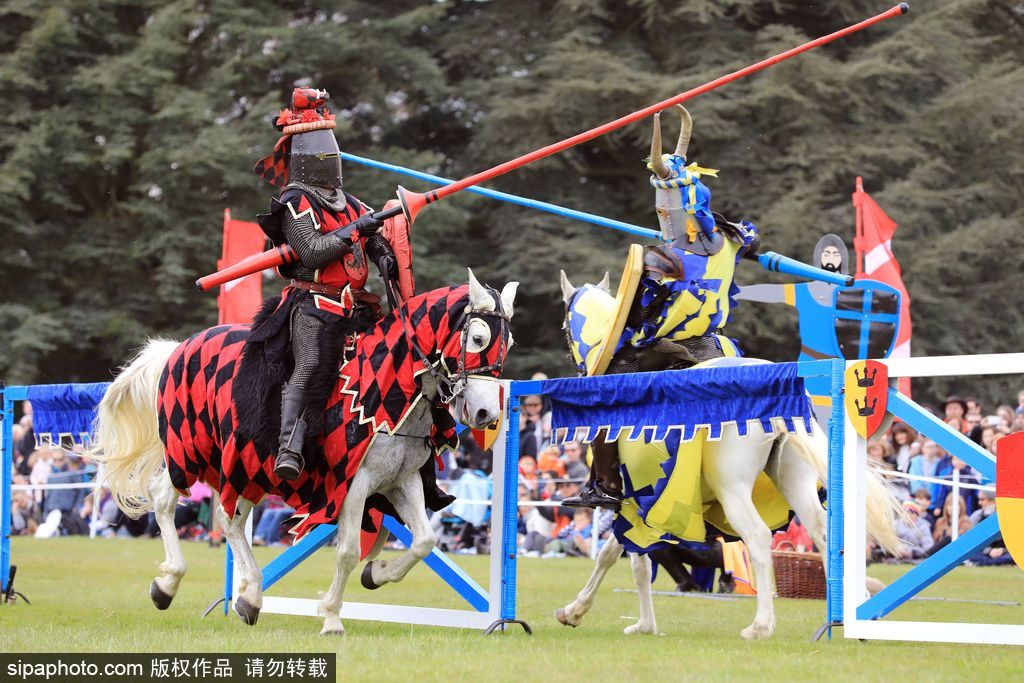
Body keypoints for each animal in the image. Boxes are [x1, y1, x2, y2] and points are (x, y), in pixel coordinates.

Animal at [91, 270, 516, 634]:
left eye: (507, 344)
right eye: (478, 338)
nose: (485, 413)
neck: (385, 394)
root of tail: (179, 348)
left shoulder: (402, 481)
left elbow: (424, 542)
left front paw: (376, 574)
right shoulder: (353, 484)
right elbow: (347, 551)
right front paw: (331, 617)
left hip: (244, 467)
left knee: (229, 520)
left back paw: (249, 596)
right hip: (191, 450)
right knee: (166, 498)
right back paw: (168, 584)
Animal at [557, 274, 901, 643]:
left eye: (565, 327)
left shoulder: (636, 500)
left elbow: (624, 558)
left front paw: (581, 612)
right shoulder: (643, 504)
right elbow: (625, 555)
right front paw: (634, 622)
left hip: (731, 487)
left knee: (759, 537)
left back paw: (761, 625)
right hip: (794, 482)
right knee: (824, 534)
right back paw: (853, 617)